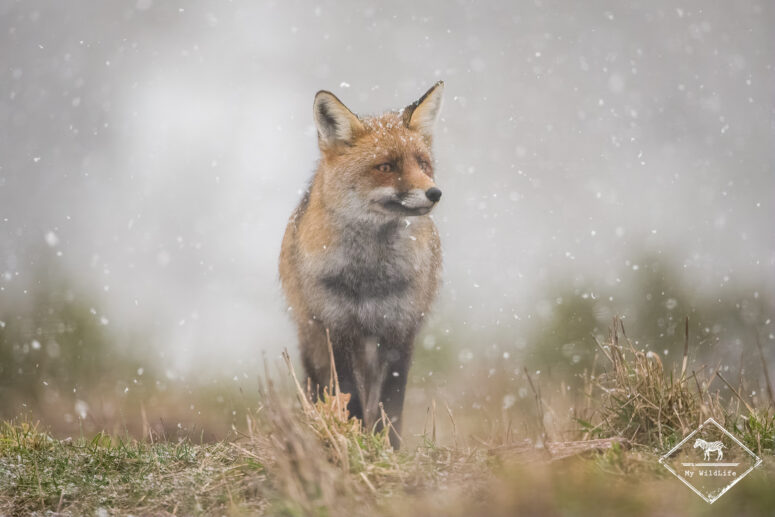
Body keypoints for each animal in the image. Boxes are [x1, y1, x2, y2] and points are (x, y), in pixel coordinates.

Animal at [279, 82, 445, 447]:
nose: (435, 193)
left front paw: (388, 447)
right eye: (386, 167)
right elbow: (350, 396)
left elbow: (390, 402)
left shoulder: (400, 328)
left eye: (423, 163)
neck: (370, 274)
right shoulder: (337, 327)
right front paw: (356, 441)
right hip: (312, 338)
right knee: (318, 388)